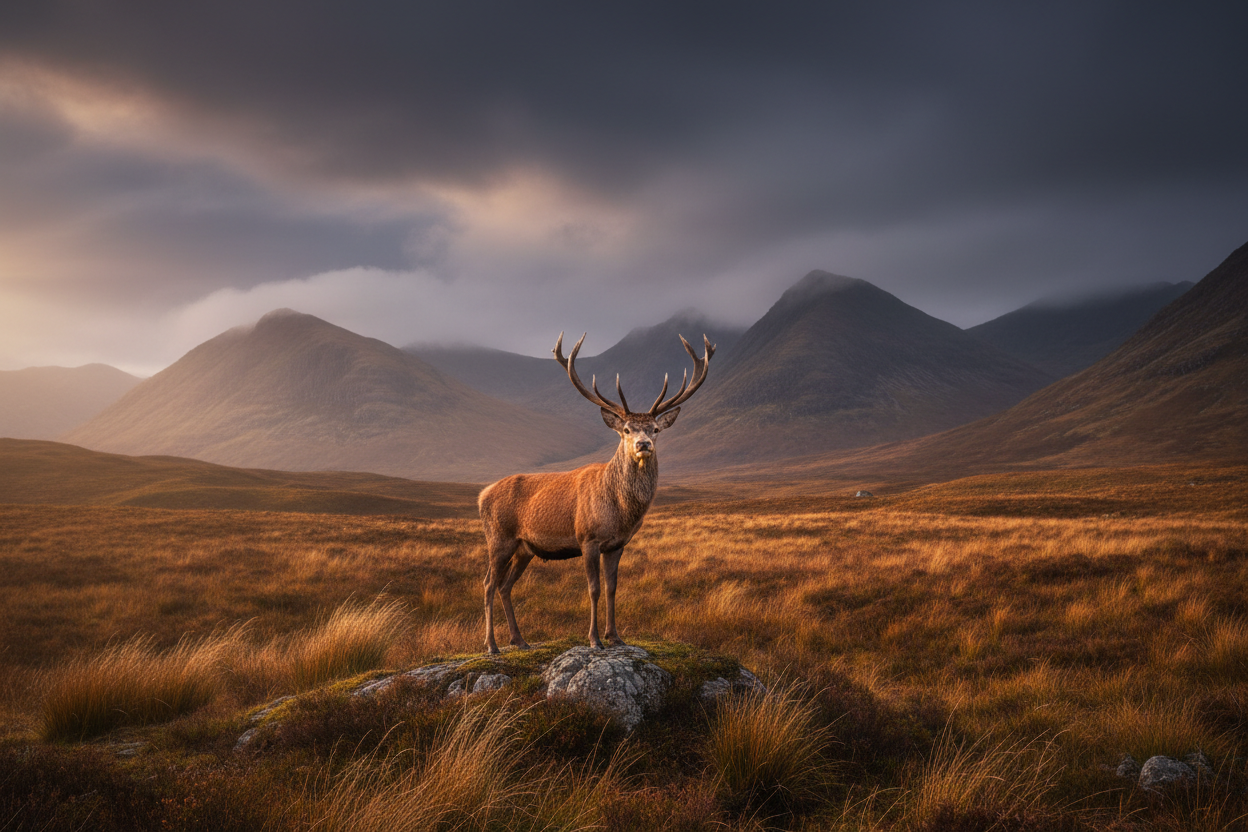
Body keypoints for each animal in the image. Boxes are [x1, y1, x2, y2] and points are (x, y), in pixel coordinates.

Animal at [478, 331, 714, 654]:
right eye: (626, 430)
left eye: (655, 429)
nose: (643, 444)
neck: (619, 512)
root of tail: (482, 495)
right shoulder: (587, 538)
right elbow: (593, 589)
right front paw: (594, 639)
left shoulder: (617, 544)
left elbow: (612, 588)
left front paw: (615, 636)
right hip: (499, 537)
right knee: (489, 583)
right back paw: (491, 645)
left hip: (525, 547)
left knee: (505, 585)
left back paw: (519, 640)